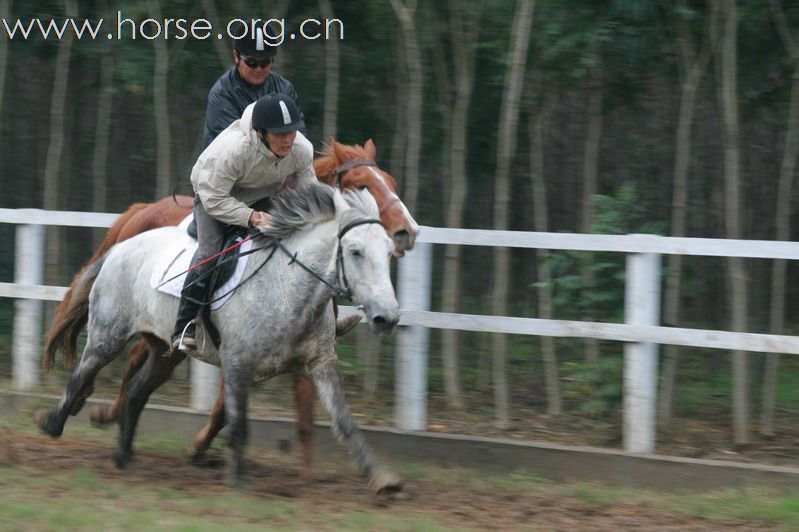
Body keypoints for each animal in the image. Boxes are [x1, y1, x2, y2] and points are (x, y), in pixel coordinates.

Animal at [45, 139, 418, 476]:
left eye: (392, 182)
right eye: (362, 184)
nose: (408, 232)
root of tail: (131, 227)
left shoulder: (312, 358)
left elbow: (323, 414)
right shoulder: (237, 358)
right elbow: (231, 412)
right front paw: (203, 450)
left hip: (164, 344)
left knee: (138, 379)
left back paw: (117, 436)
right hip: (115, 331)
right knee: (102, 369)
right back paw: (74, 415)